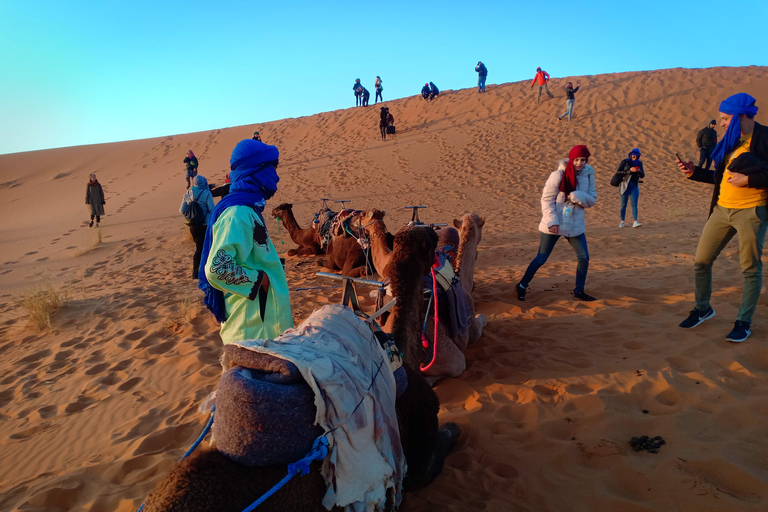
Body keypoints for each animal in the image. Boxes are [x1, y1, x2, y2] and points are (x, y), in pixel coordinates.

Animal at [141, 226, 460, 512]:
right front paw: (453, 428)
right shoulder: (414, 458)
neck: (399, 351)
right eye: (430, 240)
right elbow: (443, 441)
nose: (438, 233)